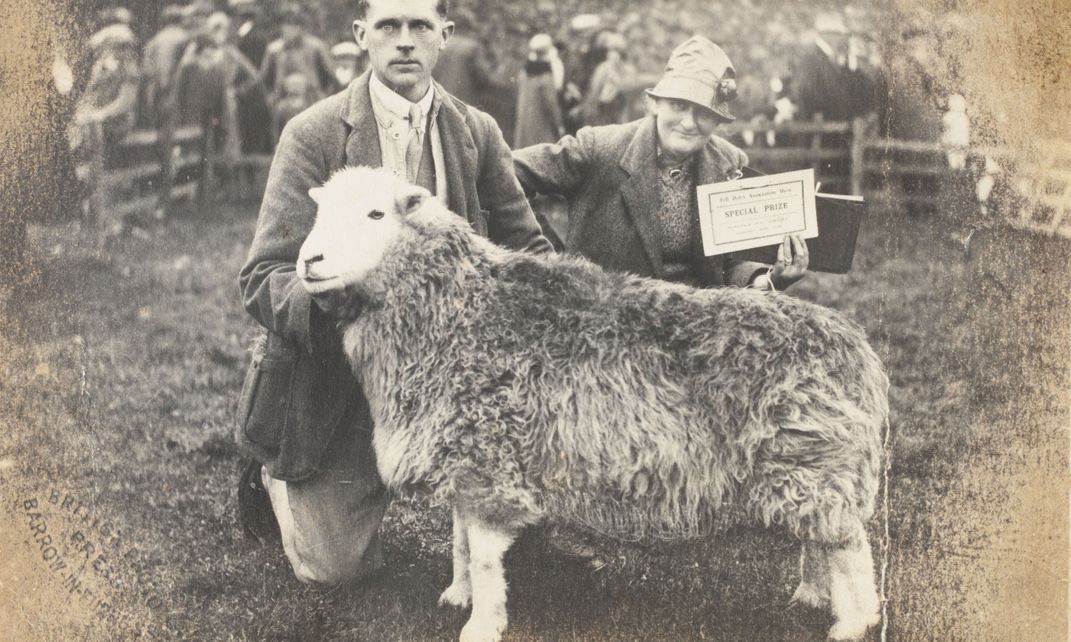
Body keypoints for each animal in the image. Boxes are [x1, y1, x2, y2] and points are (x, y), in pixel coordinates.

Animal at [297, 167, 891, 642]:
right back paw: (812, 595)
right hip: (807, 469)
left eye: (375, 213)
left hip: (818, 466)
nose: (308, 261)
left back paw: (852, 622)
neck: (458, 310)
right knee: (821, 540)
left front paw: (481, 624)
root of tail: (856, 347)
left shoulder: (490, 460)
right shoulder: (466, 458)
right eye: (319, 211)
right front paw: (457, 595)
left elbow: (484, 555)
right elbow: (461, 541)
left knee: (850, 548)